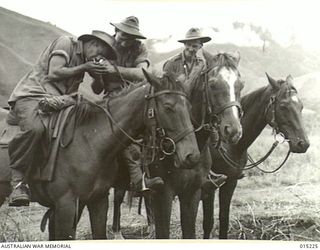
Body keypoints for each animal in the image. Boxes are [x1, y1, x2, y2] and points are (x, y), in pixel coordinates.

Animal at [0, 69, 200, 240]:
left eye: (189, 106)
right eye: (168, 107)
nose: (192, 156)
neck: (89, 141)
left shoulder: (98, 200)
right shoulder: (66, 205)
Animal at [202, 73, 310, 239]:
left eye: (301, 107)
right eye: (283, 106)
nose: (303, 144)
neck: (228, 144)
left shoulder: (230, 182)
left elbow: (224, 219)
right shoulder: (209, 187)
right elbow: (207, 223)